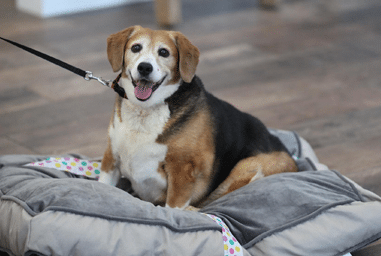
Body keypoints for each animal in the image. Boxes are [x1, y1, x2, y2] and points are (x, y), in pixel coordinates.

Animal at [98, 25, 296, 210]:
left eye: (164, 52)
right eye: (136, 47)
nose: (145, 67)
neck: (144, 111)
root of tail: (293, 161)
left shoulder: (182, 172)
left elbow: (173, 208)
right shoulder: (111, 159)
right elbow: (104, 185)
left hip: (248, 168)